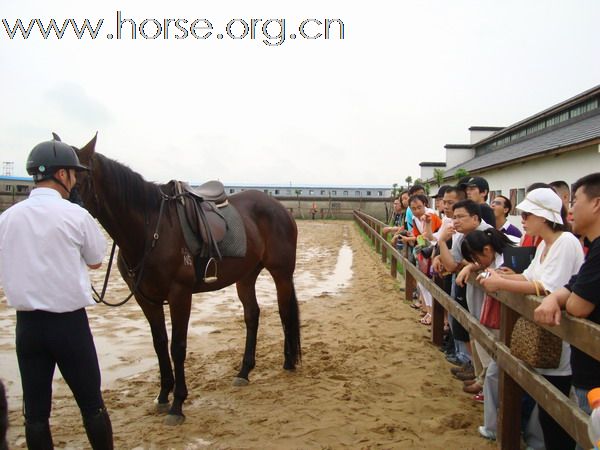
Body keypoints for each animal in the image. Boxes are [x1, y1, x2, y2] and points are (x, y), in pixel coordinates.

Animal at [74, 134, 300, 426]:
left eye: (78, 177)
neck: (150, 228)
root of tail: (281, 208)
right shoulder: (146, 298)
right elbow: (159, 344)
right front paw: (162, 396)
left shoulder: (179, 295)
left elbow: (177, 346)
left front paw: (177, 405)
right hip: (246, 276)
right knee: (252, 315)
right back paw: (244, 371)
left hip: (281, 273)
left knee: (285, 312)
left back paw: (289, 362)